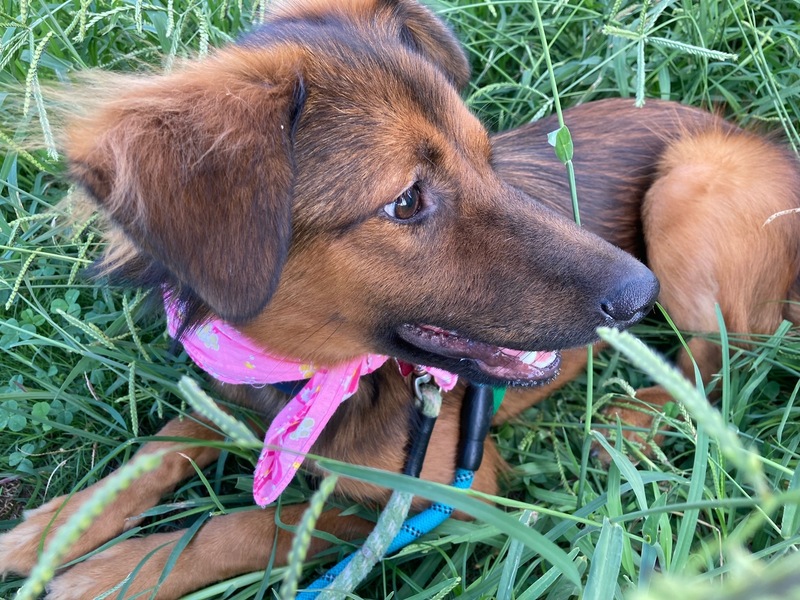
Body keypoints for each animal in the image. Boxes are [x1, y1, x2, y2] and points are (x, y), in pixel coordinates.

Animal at [1, 0, 799, 597]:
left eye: (486, 155)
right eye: (407, 200)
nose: (639, 293)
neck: (314, 372)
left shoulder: (446, 494)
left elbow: (264, 524)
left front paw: (116, 572)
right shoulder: (235, 391)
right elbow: (162, 444)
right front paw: (55, 531)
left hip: (689, 182)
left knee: (732, 343)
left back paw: (636, 419)